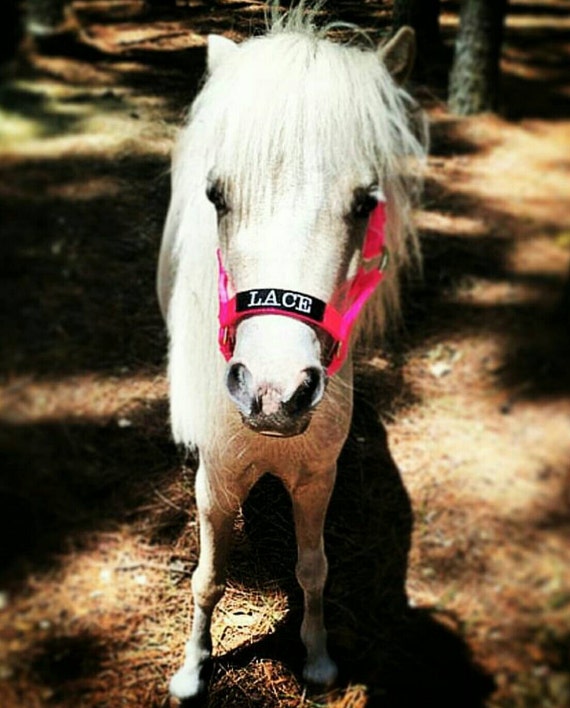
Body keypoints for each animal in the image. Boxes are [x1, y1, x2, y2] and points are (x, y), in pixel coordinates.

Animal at [157, 7, 426, 701]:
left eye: (365, 203)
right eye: (217, 196)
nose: (273, 392)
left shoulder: (315, 479)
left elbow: (313, 570)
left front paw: (320, 660)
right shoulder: (217, 484)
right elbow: (208, 579)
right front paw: (193, 670)